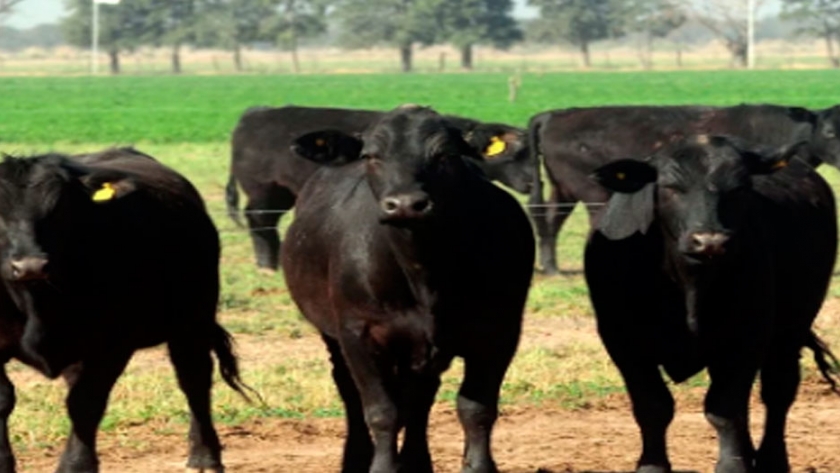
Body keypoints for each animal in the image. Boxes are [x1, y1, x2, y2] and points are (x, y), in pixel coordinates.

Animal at [0, 147, 251, 473]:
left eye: (60, 208)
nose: (30, 266)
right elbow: (4, 400)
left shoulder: (112, 345)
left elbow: (85, 403)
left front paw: (76, 465)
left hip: (192, 322)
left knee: (194, 380)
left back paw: (204, 456)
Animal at [226, 104, 534, 270]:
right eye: (517, 155)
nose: (532, 181)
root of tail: (254, 114)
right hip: (263, 190)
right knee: (259, 219)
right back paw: (267, 264)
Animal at [281, 105, 535, 472]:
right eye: (371, 155)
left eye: (445, 154)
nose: (405, 205)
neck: (424, 274)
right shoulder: (358, 333)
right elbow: (382, 411)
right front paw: (383, 467)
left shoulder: (499, 332)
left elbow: (476, 408)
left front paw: (478, 466)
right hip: (335, 335)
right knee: (351, 391)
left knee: (419, 399)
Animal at [526, 103, 835, 275]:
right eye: (831, 131)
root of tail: (554, 115)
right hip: (592, 194)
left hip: (564, 190)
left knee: (550, 218)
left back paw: (551, 268)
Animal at [584, 135, 838, 473]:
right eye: (670, 187)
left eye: (739, 187)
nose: (710, 241)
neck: (689, 286)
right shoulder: (624, 341)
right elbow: (652, 405)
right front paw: (652, 465)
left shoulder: (746, 336)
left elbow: (724, 408)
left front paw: (732, 465)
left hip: (792, 327)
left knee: (778, 391)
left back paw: (770, 460)